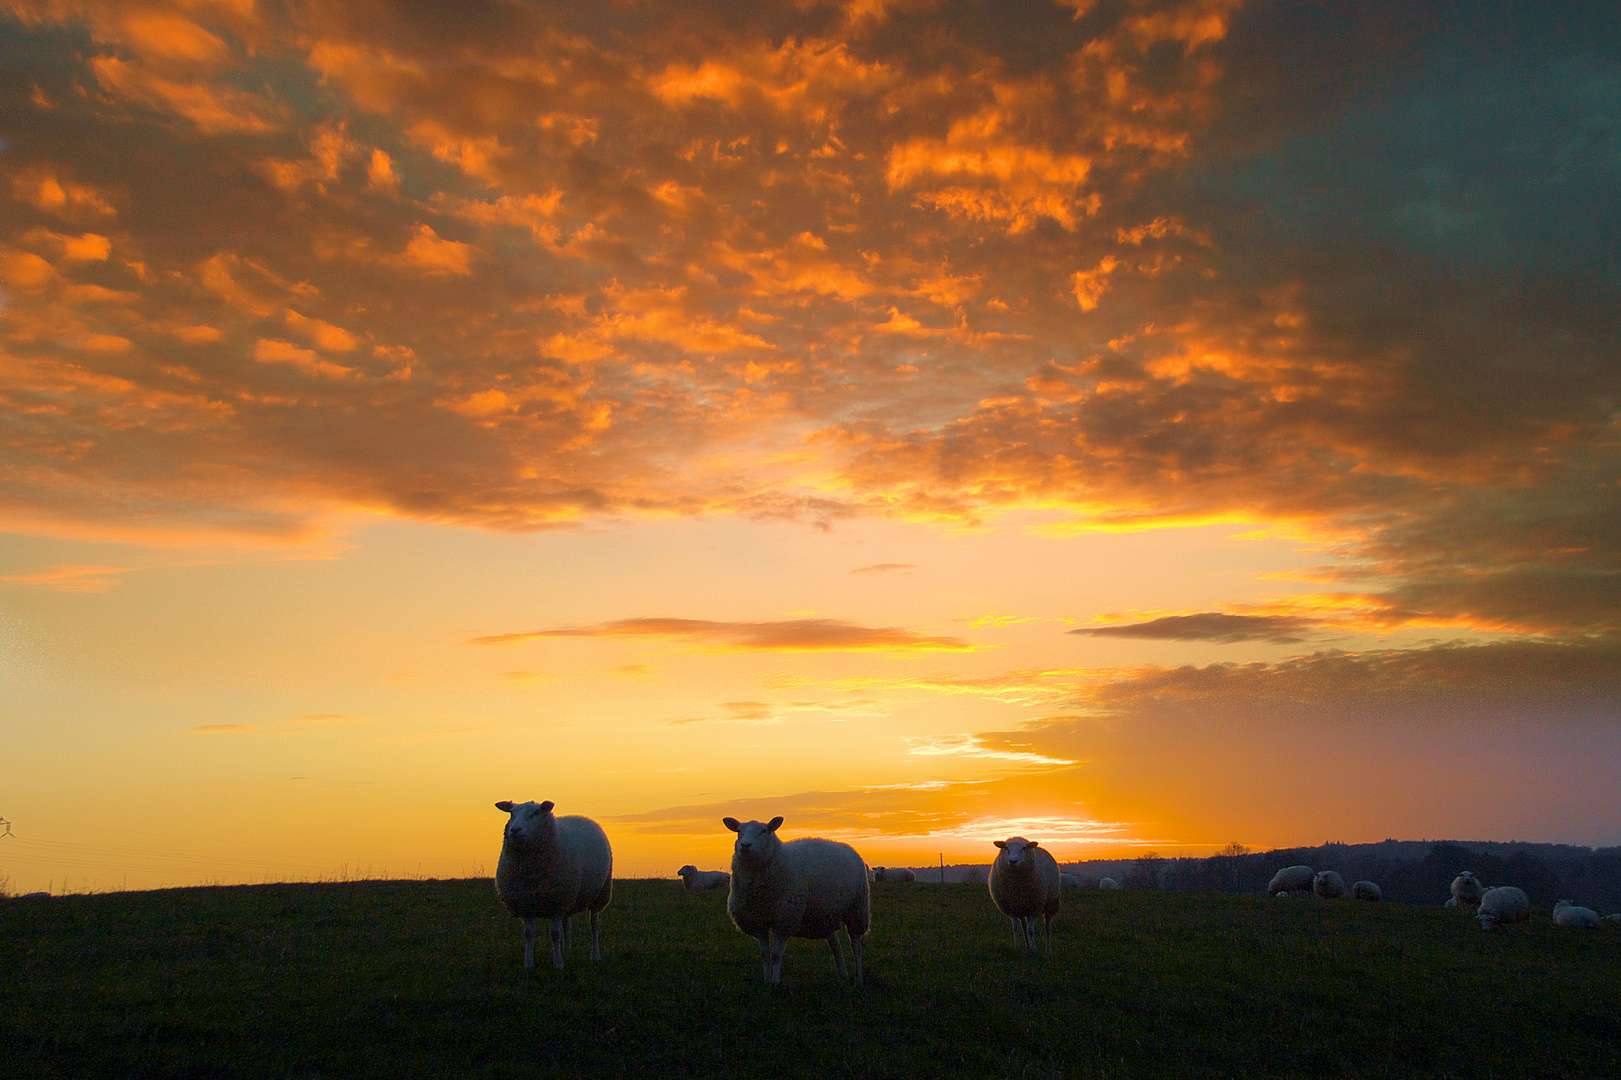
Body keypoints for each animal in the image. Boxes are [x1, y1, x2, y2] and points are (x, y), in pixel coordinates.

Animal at [489, 797, 609, 966]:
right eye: (511, 813)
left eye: (536, 813)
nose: (515, 830)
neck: (532, 873)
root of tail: (580, 817)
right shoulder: (526, 903)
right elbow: (528, 933)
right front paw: (528, 963)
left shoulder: (557, 903)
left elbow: (554, 934)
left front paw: (558, 963)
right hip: (569, 897)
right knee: (567, 924)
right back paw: (568, 953)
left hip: (600, 894)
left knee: (594, 924)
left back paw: (595, 955)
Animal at [726, 817, 868, 985]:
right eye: (739, 831)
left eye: (764, 831)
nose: (745, 845)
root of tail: (849, 848)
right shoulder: (757, 921)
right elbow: (764, 954)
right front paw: (766, 981)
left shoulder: (785, 919)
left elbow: (775, 955)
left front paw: (775, 982)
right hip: (824, 915)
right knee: (835, 945)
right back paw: (843, 974)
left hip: (857, 909)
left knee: (856, 946)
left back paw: (859, 978)